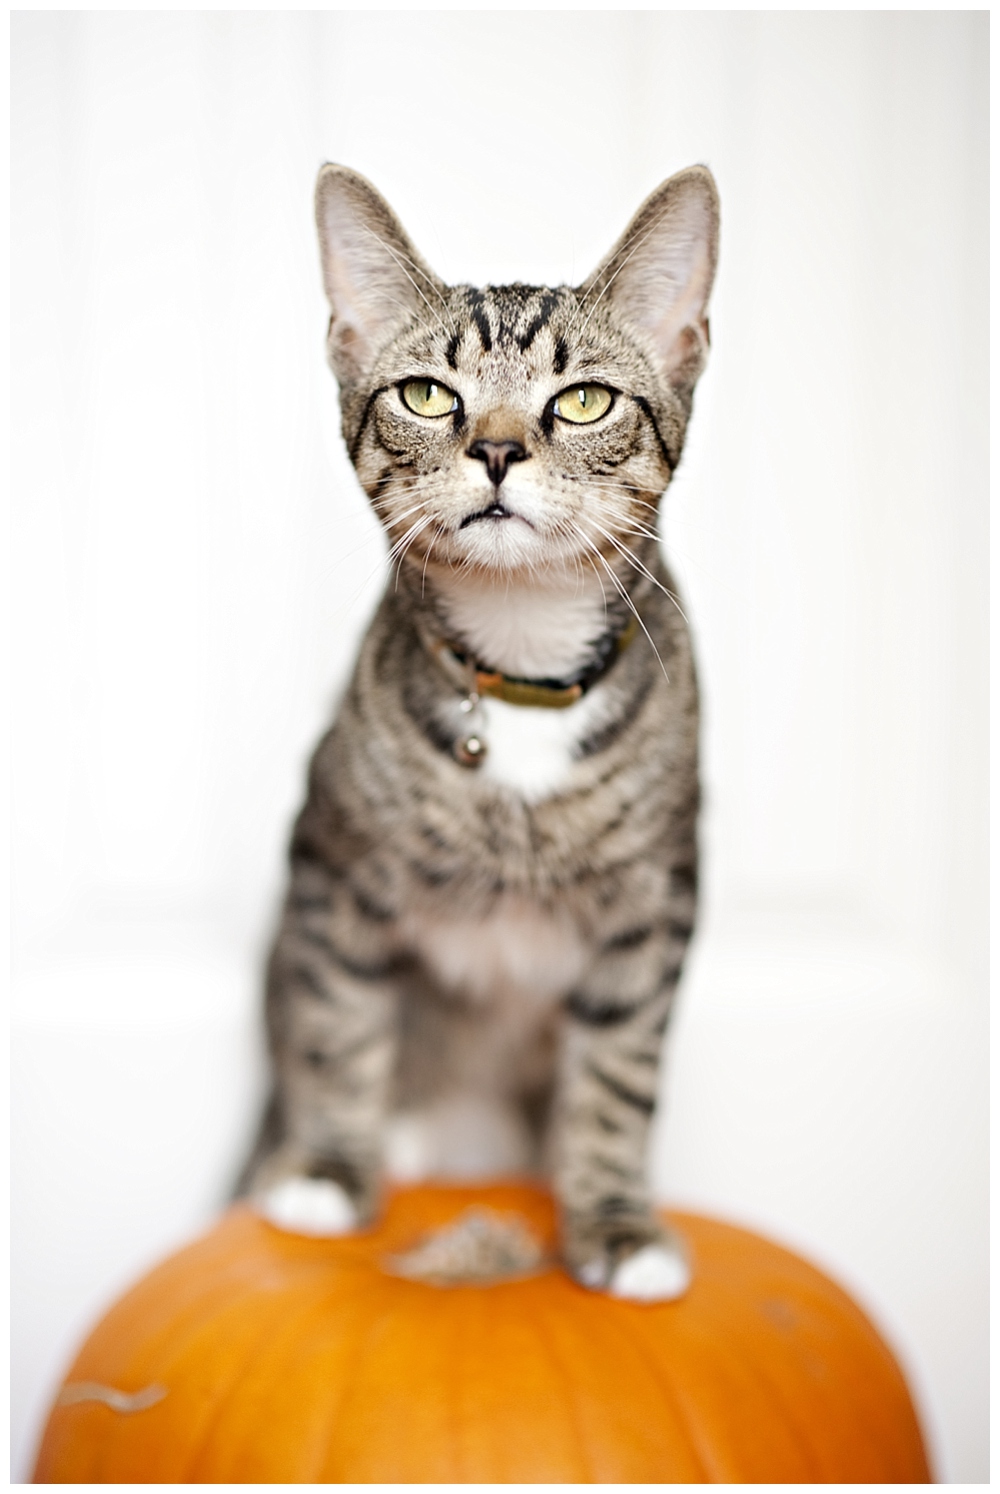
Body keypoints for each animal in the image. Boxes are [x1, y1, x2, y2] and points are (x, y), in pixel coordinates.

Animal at [236, 163, 717, 1302]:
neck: (521, 676)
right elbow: (339, 1019)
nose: (496, 447)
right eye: (427, 394)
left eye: (582, 399)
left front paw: (615, 1223)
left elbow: (619, 1073)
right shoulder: (329, 865)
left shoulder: (657, 904)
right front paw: (332, 1171)